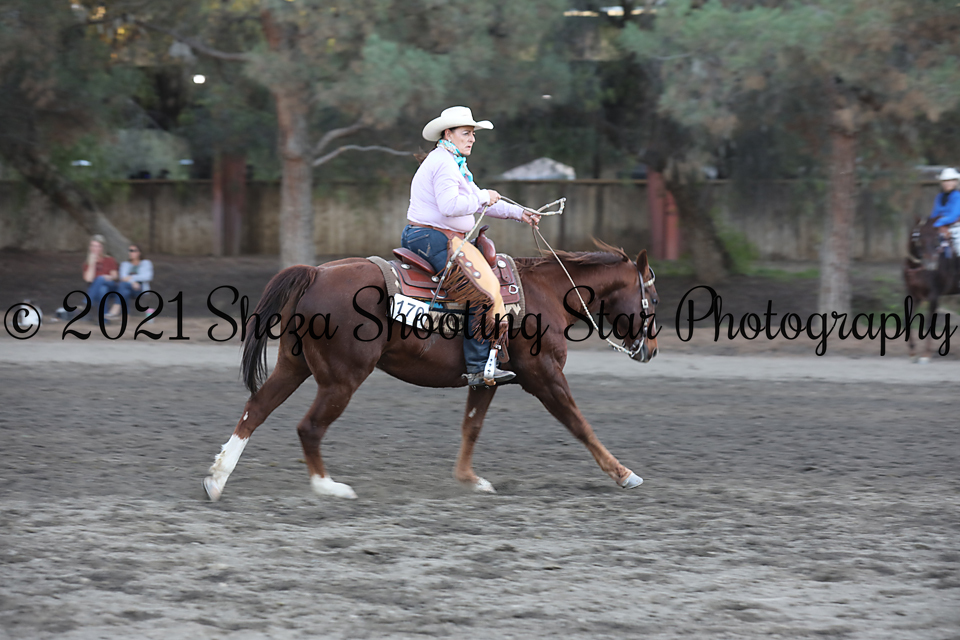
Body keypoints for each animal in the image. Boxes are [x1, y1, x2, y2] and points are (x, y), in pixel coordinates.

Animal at [202, 243, 659, 501]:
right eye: (652, 299)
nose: (651, 350)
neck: (545, 293)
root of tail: (316, 273)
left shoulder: (487, 379)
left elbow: (471, 426)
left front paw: (469, 480)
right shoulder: (544, 375)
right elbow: (580, 425)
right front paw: (625, 475)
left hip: (294, 365)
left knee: (256, 408)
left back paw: (217, 480)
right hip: (342, 378)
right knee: (309, 427)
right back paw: (328, 487)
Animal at [904, 217, 959, 360]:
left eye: (936, 237)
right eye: (920, 236)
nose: (931, 263)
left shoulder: (934, 295)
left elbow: (929, 323)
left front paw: (926, 354)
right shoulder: (913, 295)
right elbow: (907, 320)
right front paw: (912, 351)